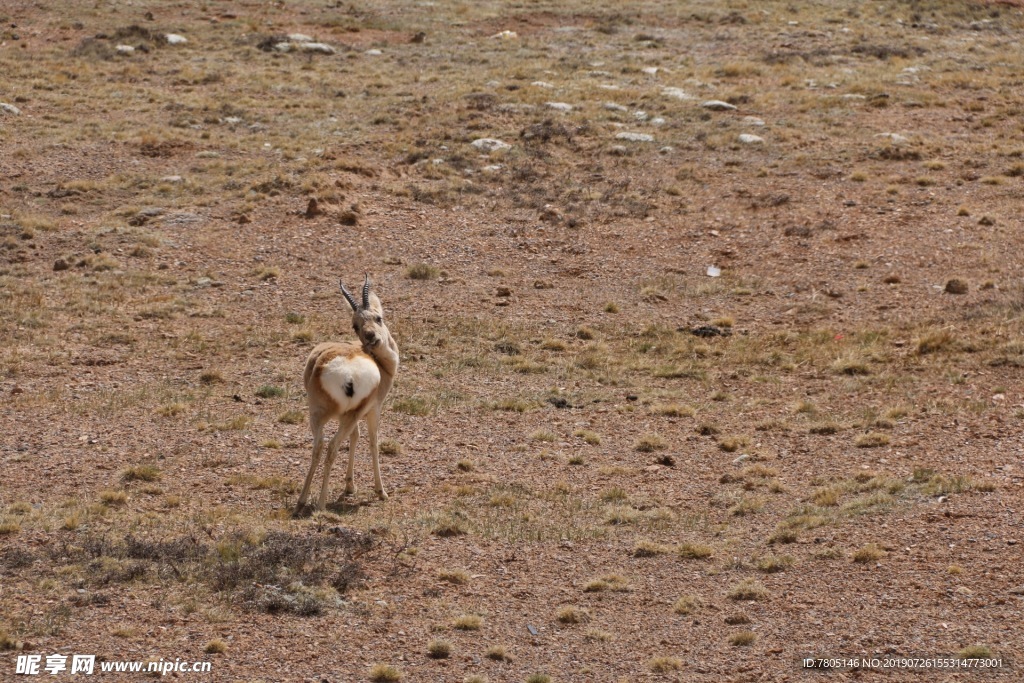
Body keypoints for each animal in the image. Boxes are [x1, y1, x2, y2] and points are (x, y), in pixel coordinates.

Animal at [294, 272, 397, 511]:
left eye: (378, 318)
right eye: (355, 325)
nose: (371, 337)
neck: (380, 364)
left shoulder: (348, 416)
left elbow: (355, 437)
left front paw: (349, 486)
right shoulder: (373, 409)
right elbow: (372, 442)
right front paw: (381, 491)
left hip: (318, 414)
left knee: (318, 447)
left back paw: (303, 499)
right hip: (350, 415)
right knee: (332, 447)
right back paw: (321, 504)